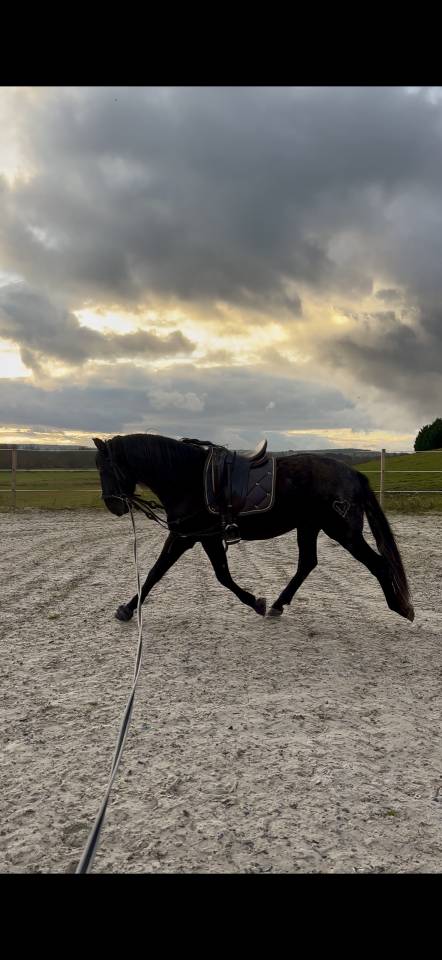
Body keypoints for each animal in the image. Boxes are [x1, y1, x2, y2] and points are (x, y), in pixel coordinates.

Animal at [93, 433, 414, 624]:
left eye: (104, 467)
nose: (112, 505)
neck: (189, 478)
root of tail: (353, 474)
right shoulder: (191, 536)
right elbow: (158, 572)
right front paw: (127, 608)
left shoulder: (195, 537)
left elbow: (214, 576)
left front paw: (255, 602)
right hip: (309, 527)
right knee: (307, 564)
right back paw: (278, 605)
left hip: (343, 532)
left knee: (379, 564)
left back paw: (402, 608)